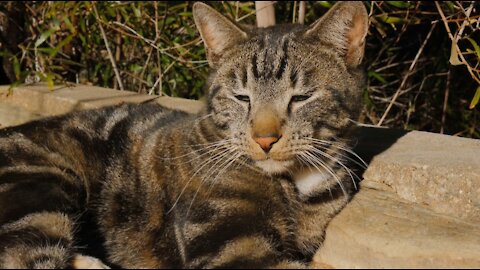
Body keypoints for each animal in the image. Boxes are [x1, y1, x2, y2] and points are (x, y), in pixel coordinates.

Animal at [0, 1, 368, 268]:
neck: (296, 187)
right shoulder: (232, 246)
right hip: (41, 189)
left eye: (301, 97)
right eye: (241, 97)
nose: (265, 140)